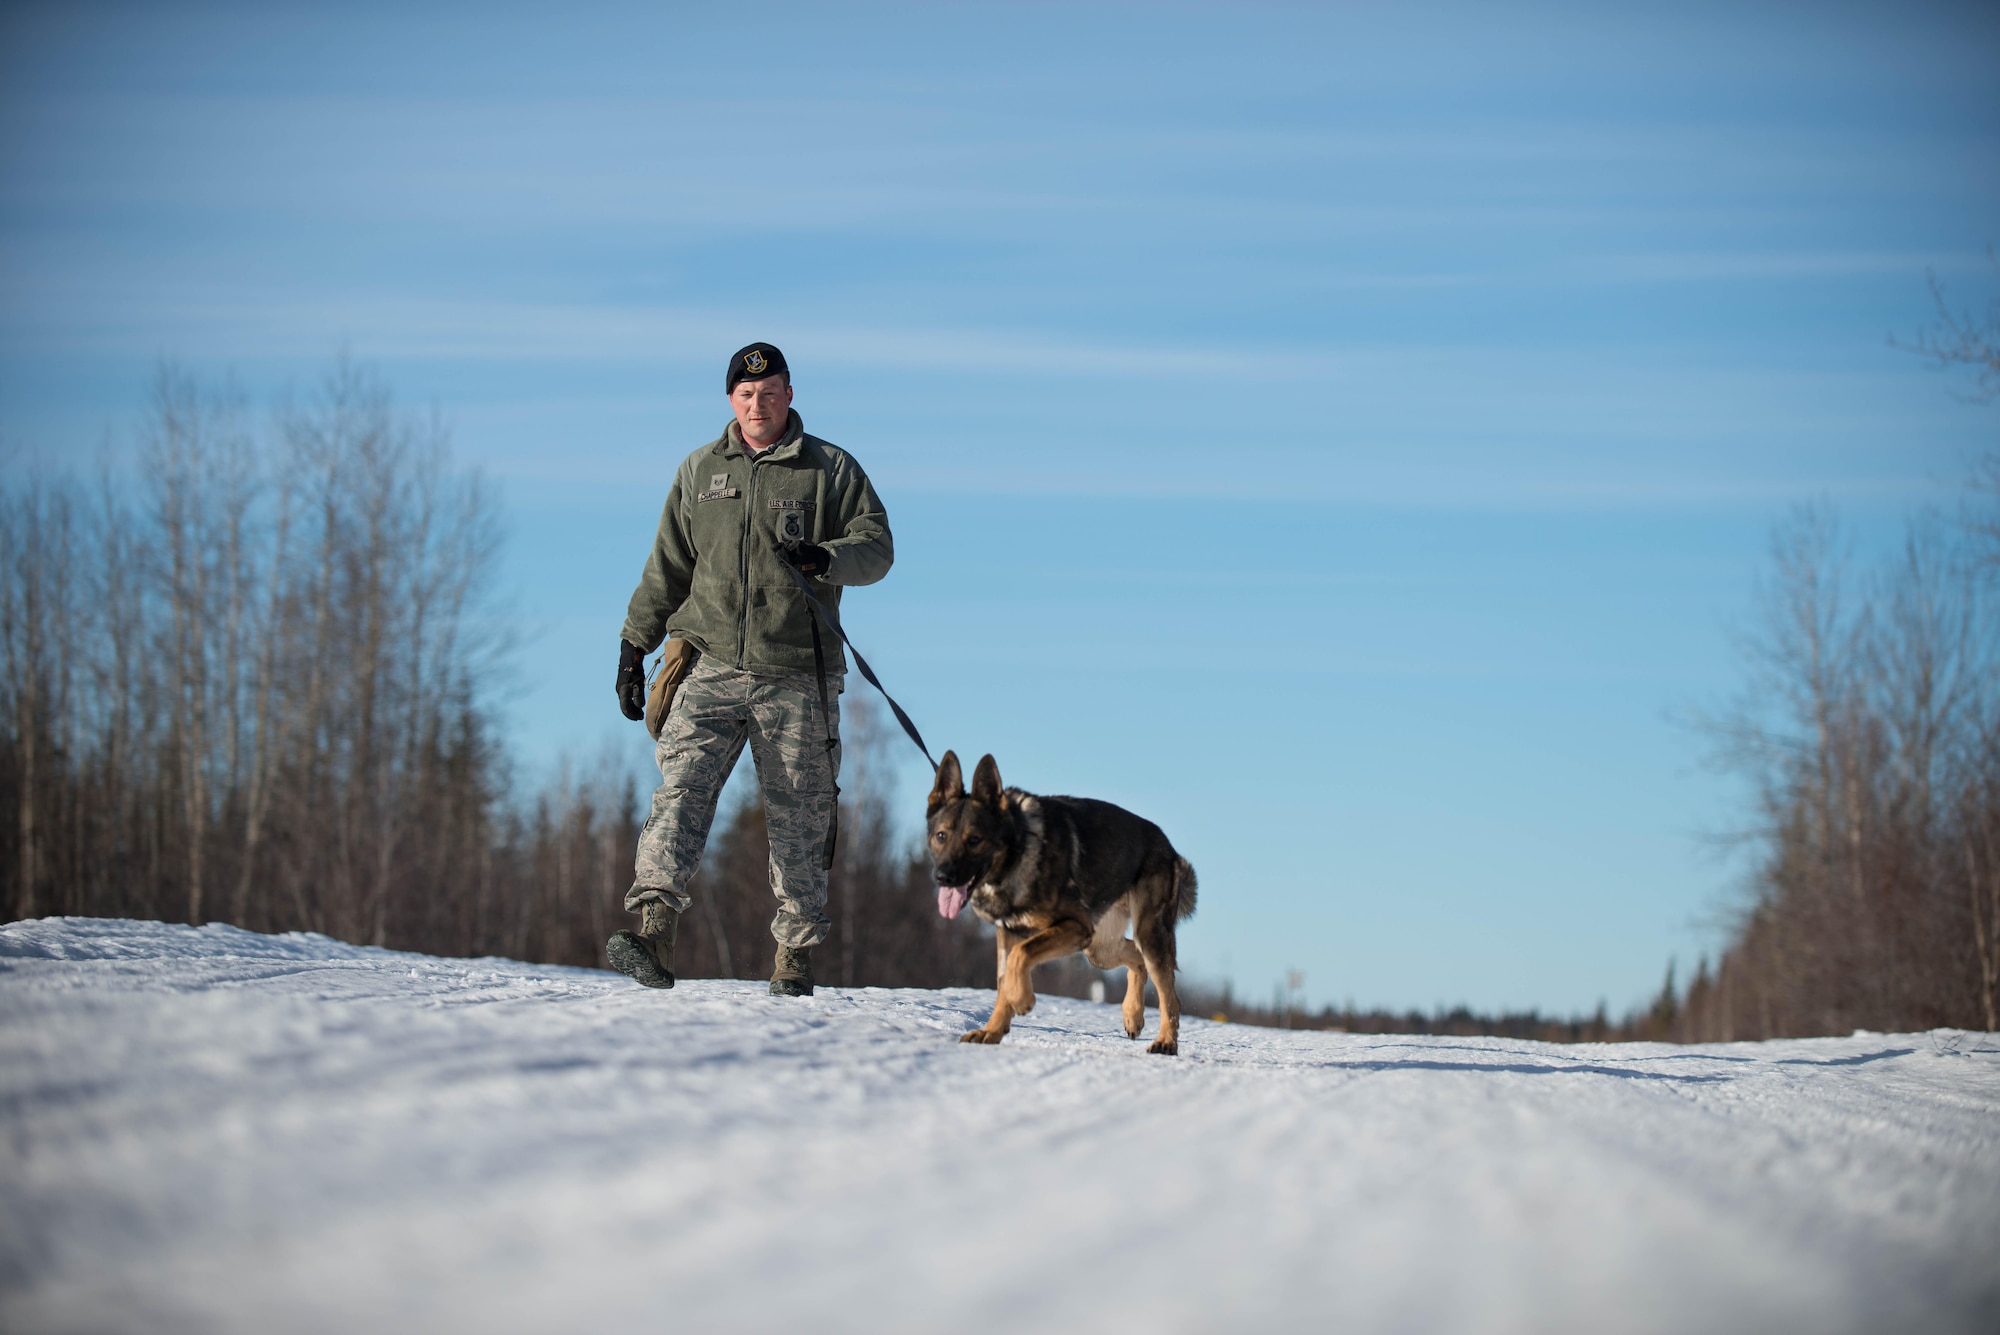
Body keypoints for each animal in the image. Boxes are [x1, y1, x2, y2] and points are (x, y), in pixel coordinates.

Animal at [924, 751, 1192, 1055]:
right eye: (941, 836)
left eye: (974, 840)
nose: (943, 877)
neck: (1018, 849)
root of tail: (1168, 847)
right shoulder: (1010, 934)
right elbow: (1004, 980)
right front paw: (992, 1031)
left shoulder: (1073, 927)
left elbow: (1020, 957)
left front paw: (1022, 1000)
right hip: (1099, 948)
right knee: (1137, 959)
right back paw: (1132, 1014)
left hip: (1145, 935)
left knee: (1169, 995)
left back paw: (1166, 1041)